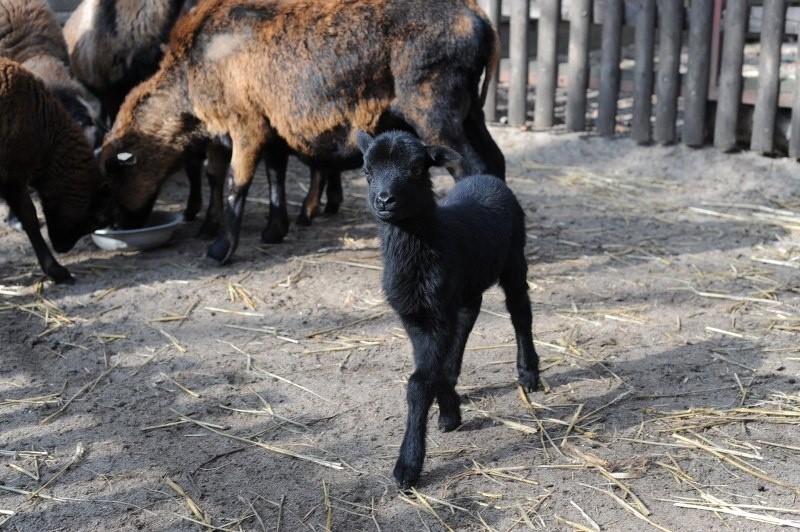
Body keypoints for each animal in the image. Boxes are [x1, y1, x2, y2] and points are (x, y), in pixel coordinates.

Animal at [98, 0, 500, 264]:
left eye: (115, 174)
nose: (116, 224)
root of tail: (478, 17)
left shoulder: (246, 124)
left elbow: (236, 186)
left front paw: (219, 250)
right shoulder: (272, 125)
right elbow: (274, 175)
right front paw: (274, 230)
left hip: (434, 109)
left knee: (472, 168)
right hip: (471, 112)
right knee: (495, 160)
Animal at [358, 128, 540, 486]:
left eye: (416, 169)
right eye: (367, 171)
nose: (384, 200)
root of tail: (485, 177)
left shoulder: (437, 315)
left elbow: (418, 384)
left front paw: (407, 466)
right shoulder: (414, 316)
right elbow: (429, 371)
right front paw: (450, 411)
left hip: (514, 256)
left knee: (520, 311)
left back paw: (528, 373)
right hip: (465, 284)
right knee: (470, 314)